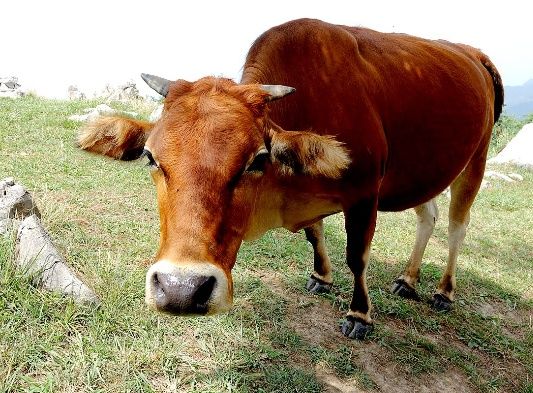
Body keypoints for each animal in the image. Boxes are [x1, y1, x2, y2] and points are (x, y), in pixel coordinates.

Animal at [79, 18, 502, 338]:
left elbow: (357, 256)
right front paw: (322, 276)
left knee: (457, 226)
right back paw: (408, 279)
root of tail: (473, 53)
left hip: (476, 160)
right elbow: (315, 234)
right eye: (151, 157)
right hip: (426, 172)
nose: (181, 290)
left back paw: (444, 292)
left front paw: (360, 315)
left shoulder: (366, 192)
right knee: (428, 216)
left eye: (257, 160)